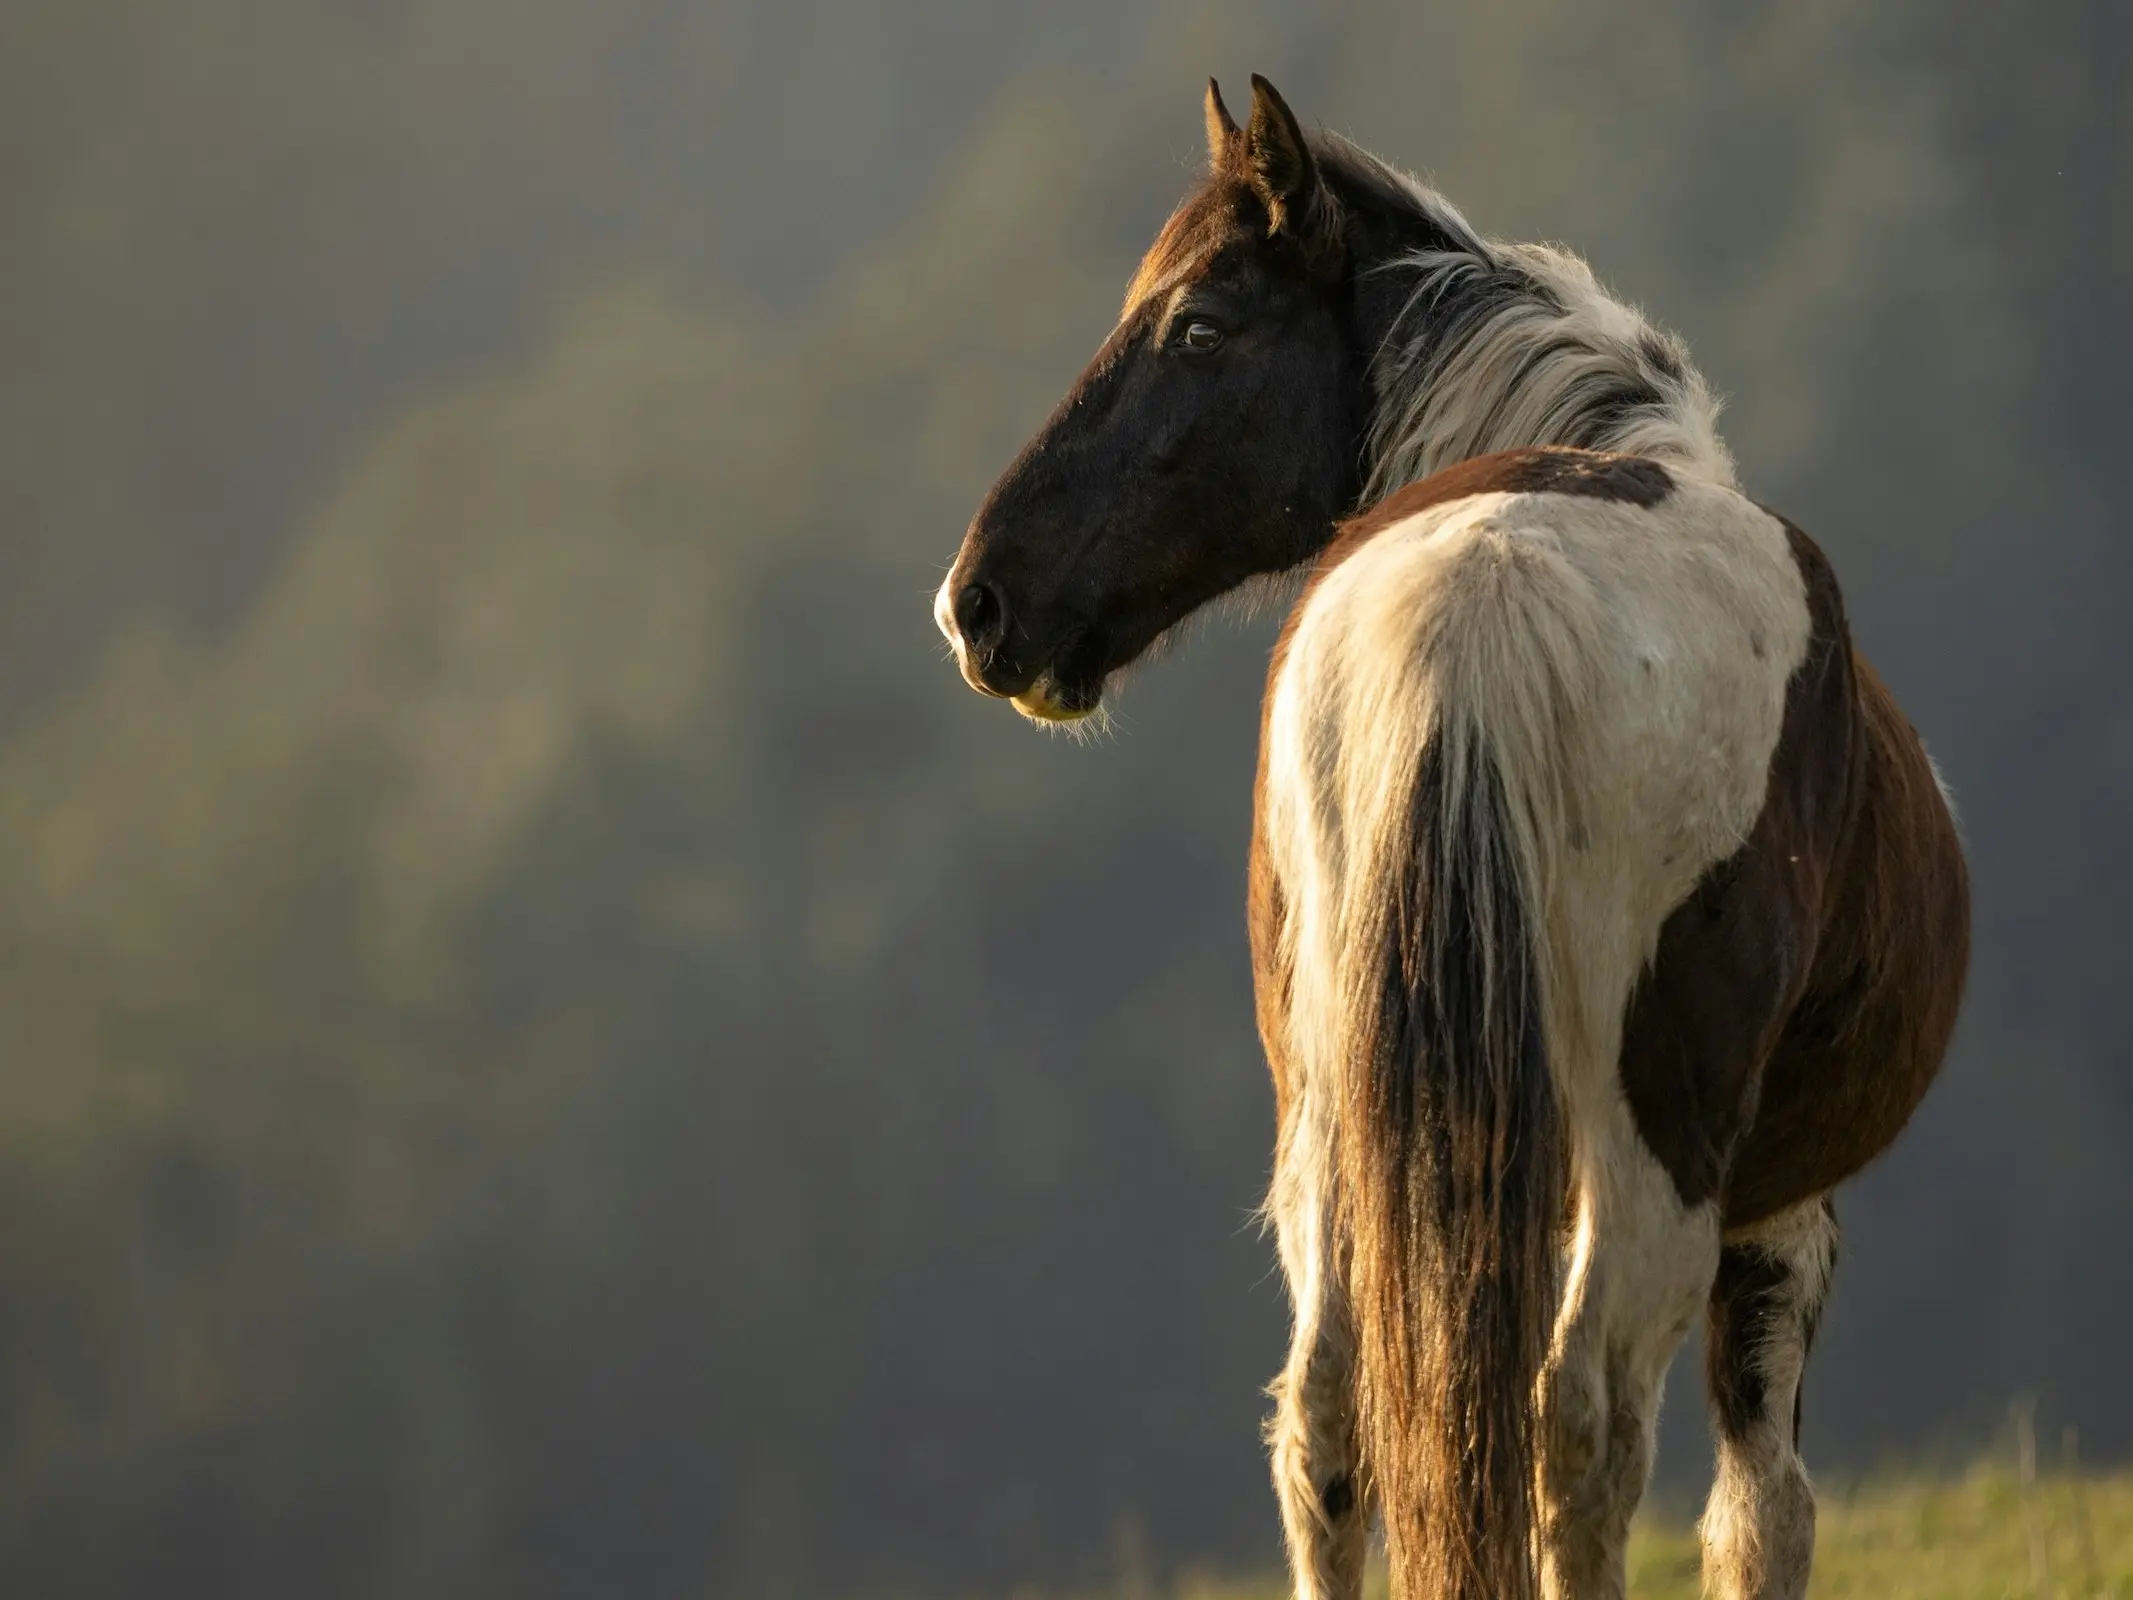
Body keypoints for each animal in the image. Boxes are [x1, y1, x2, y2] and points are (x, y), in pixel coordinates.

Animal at [934, 75, 1962, 1600]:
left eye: (1199, 326)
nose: (982, 604)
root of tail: (1488, 587)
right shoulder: (1781, 1215)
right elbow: (1759, 1513)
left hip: (1335, 1131)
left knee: (1326, 1420)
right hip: (1656, 1164)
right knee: (1580, 1424)